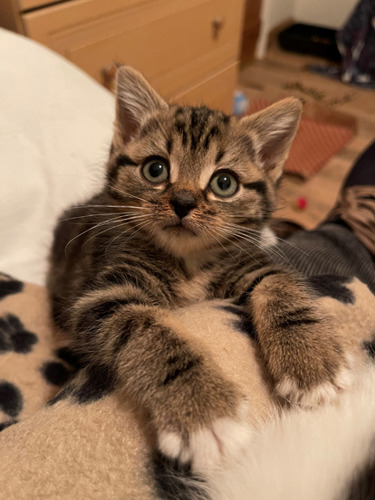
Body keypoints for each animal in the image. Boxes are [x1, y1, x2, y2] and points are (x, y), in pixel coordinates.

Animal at [49, 66, 352, 472]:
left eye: (224, 183)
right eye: (155, 169)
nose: (182, 201)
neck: (189, 261)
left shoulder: (248, 264)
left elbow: (279, 284)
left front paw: (314, 363)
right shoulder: (103, 294)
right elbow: (145, 329)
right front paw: (205, 413)